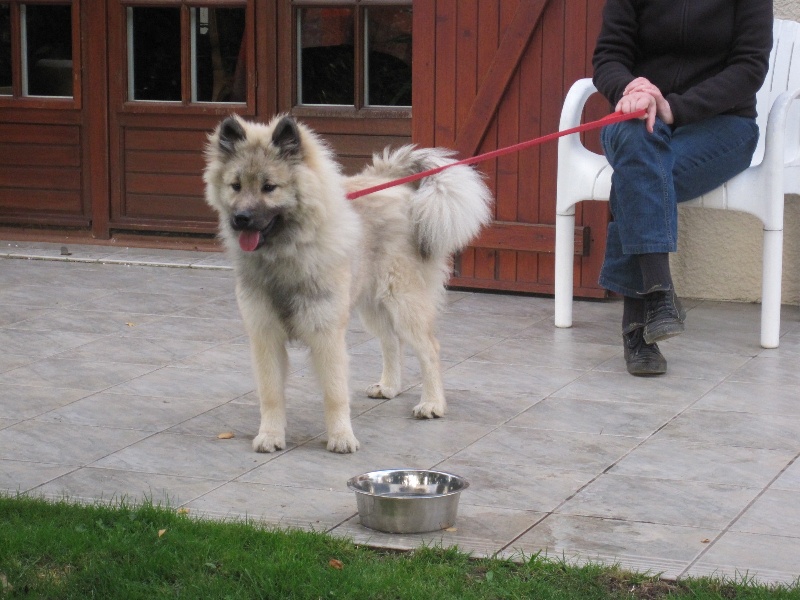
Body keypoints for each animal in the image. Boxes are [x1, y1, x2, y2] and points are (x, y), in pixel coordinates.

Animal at [205, 116, 494, 454]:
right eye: (236, 186)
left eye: (269, 187)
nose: (240, 218)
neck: (287, 253)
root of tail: (393, 184)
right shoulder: (265, 335)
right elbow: (271, 393)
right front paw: (271, 436)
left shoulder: (327, 334)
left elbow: (334, 393)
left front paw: (342, 437)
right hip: (372, 306)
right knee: (391, 341)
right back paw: (389, 386)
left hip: (403, 302)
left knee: (428, 349)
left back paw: (432, 403)